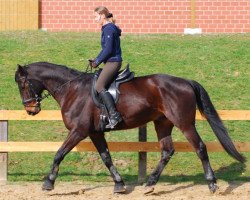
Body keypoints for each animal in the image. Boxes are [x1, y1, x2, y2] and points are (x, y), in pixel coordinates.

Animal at [14, 62, 245, 194]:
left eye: (23, 84)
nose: (30, 109)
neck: (72, 89)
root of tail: (186, 81)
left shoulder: (79, 131)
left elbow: (59, 154)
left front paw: (48, 183)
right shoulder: (95, 132)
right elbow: (106, 157)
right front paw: (119, 184)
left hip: (184, 123)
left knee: (200, 148)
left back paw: (212, 184)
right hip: (163, 123)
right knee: (167, 150)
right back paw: (150, 183)